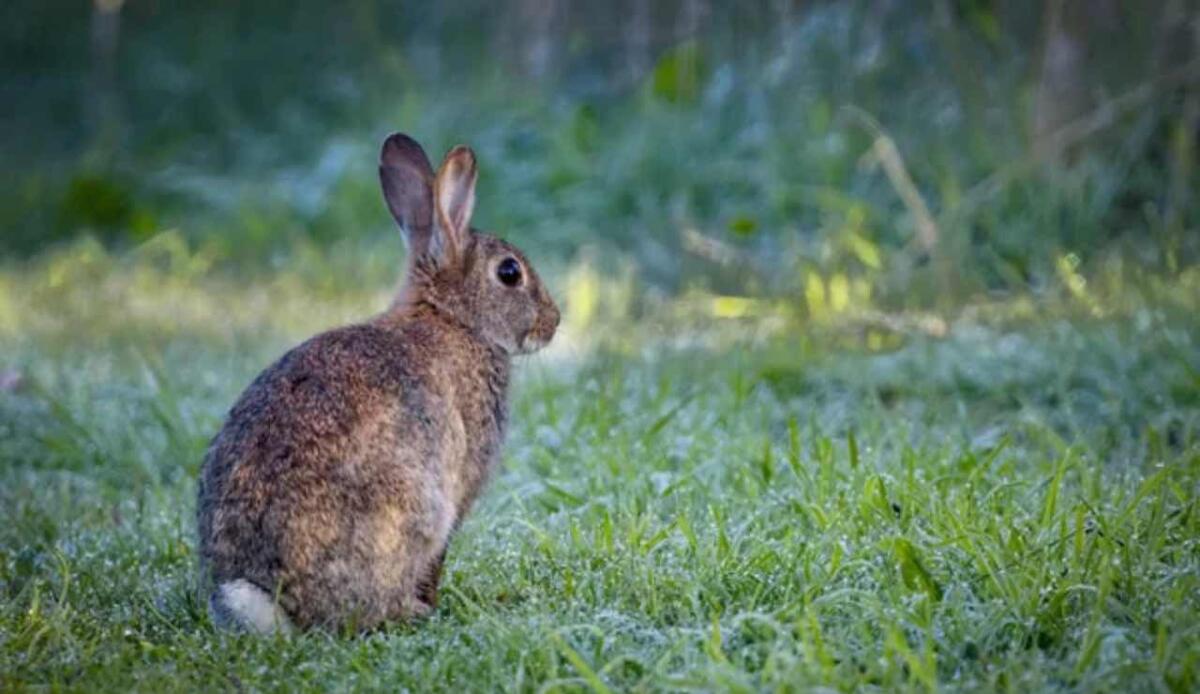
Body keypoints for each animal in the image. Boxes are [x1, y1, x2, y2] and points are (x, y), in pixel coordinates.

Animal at [197, 133, 560, 633]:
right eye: (510, 273)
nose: (554, 322)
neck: (452, 318)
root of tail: (273, 598)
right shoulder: (460, 484)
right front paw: (433, 601)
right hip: (411, 508)